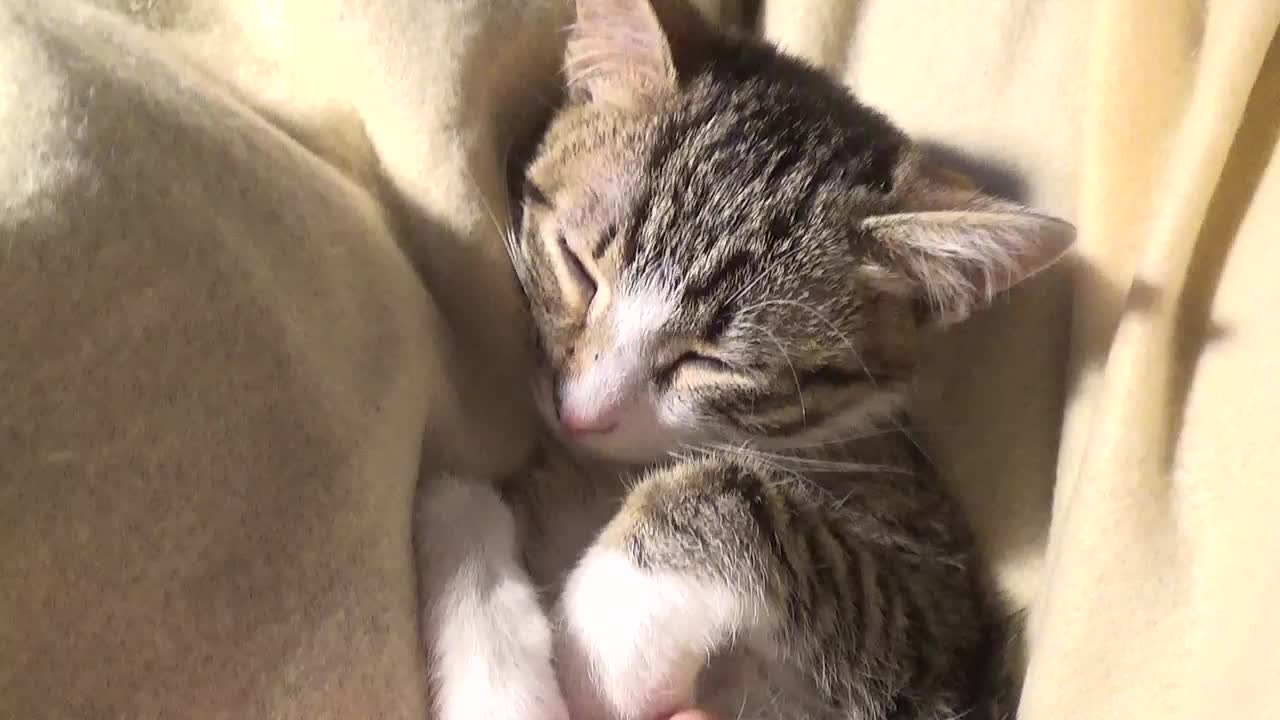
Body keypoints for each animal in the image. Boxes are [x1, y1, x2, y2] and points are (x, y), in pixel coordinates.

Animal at [414, 1, 1075, 717]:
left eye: (717, 363)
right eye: (579, 268)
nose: (581, 415)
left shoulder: (945, 647)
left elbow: (735, 491)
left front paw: (606, 641)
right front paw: (461, 521)